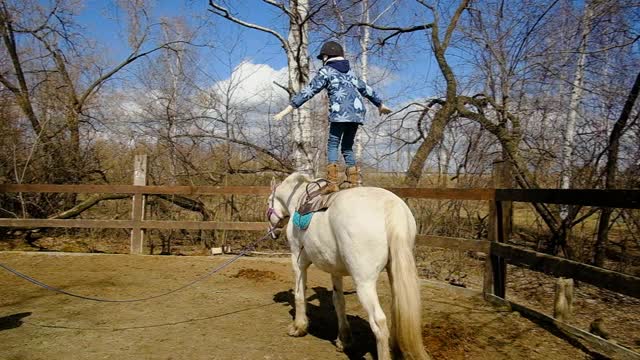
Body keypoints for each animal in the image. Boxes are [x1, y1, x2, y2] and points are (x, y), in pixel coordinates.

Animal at [264, 173, 430, 358]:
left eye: (268, 202)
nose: (272, 232)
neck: (298, 201)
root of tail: (391, 207)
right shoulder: (334, 270)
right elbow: (339, 302)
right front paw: (344, 340)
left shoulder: (298, 261)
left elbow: (300, 294)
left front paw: (298, 327)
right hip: (394, 275)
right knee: (396, 313)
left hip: (364, 283)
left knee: (379, 322)